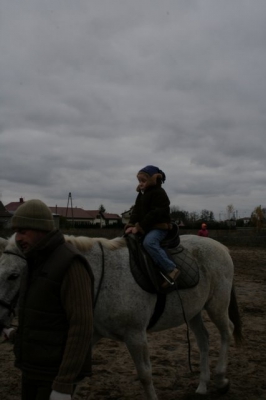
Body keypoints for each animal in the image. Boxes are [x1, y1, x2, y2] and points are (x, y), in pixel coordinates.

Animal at [0, 233, 243, 398]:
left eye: (13, 276)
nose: (0, 318)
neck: (98, 277)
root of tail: (221, 247)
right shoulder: (91, 334)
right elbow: (72, 374)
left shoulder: (135, 335)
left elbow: (145, 375)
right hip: (193, 311)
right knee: (204, 339)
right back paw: (202, 385)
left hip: (216, 305)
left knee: (227, 331)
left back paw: (221, 378)